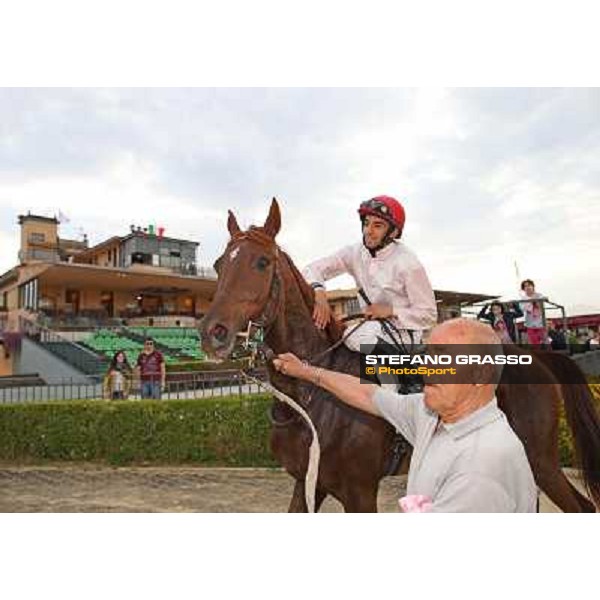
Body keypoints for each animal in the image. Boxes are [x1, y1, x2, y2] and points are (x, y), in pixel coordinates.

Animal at [202, 199, 600, 512]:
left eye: (261, 262)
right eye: (220, 263)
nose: (212, 332)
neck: (310, 399)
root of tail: (538, 357)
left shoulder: (359, 491)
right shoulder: (307, 483)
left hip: (540, 459)